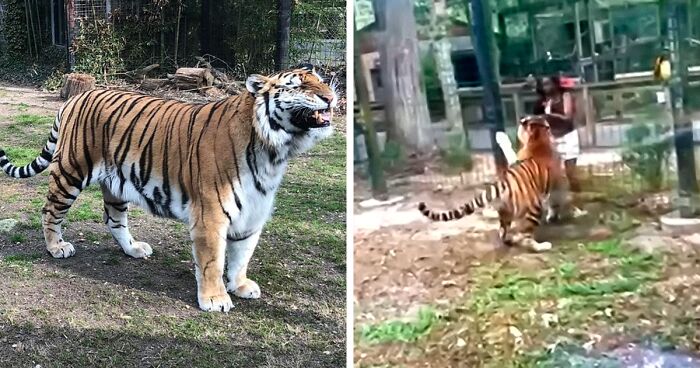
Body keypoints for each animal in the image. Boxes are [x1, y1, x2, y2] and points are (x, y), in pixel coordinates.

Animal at [0, 63, 340, 310]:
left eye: (321, 81)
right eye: (297, 85)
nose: (331, 97)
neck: (274, 152)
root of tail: (75, 98)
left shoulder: (253, 214)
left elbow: (242, 255)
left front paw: (241, 285)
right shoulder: (210, 215)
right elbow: (212, 261)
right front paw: (215, 299)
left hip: (116, 184)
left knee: (113, 219)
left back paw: (133, 249)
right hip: (71, 172)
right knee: (50, 211)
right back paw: (56, 247)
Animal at [418, 116, 560, 252]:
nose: (522, 120)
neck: (538, 140)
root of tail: (504, 182)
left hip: (507, 211)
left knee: (504, 233)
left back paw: (512, 239)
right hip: (533, 208)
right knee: (525, 237)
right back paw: (541, 246)